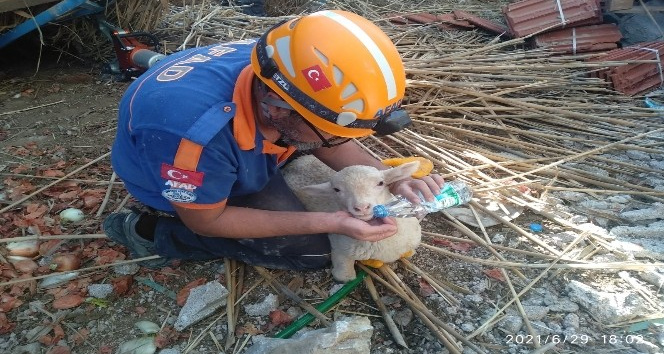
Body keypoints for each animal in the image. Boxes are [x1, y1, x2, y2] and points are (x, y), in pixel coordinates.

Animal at [282, 155, 422, 282]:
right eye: (336, 189)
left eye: (381, 183)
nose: (362, 207)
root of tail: (294, 163)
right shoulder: (339, 247)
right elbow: (345, 277)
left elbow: (410, 252)